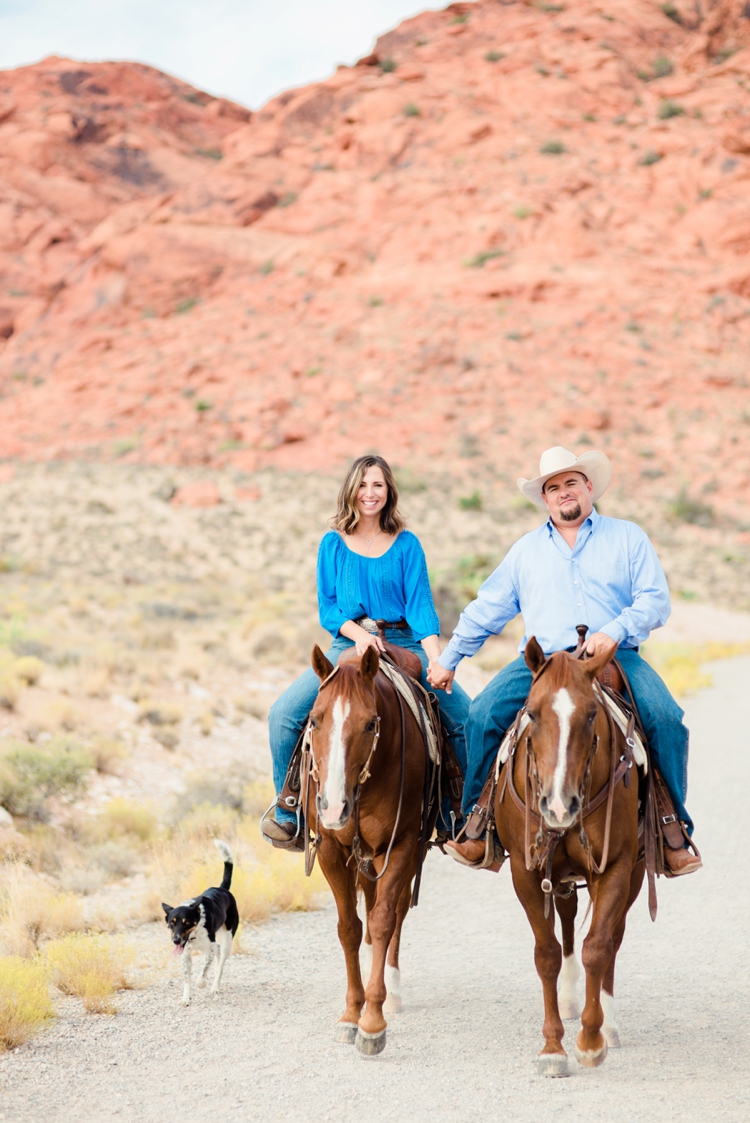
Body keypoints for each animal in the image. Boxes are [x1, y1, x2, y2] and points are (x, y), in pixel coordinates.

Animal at [162, 840, 239, 1006]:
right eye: (172, 923)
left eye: (186, 922)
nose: (176, 940)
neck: (194, 934)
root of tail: (222, 889)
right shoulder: (185, 955)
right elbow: (187, 980)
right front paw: (186, 998)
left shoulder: (209, 948)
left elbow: (202, 973)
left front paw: (202, 984)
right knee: (218, 957)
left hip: (228, 938)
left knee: (220, 963)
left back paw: (215, 988)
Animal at [303, 646, 431, 1055]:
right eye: (314, 720)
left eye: (371, 724)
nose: (333, 808)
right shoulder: (330, 849)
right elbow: (349, 928)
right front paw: (350, 1014)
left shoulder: (401, 844)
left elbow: (383, 920)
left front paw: (372, 1021)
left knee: (395, 912)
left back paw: (393, 989)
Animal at [494, 637, 646, 1073]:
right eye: (532, 712)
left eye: (591, 714)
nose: (559, 805)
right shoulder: (526, 872)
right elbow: (546, 955)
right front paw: (552, 1047)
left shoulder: (615, 867)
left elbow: (599, 946)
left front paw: (591, 1041)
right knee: (565, 922)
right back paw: (568, 999)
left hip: (634, 873)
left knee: (613, 936)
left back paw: (608, 1023)